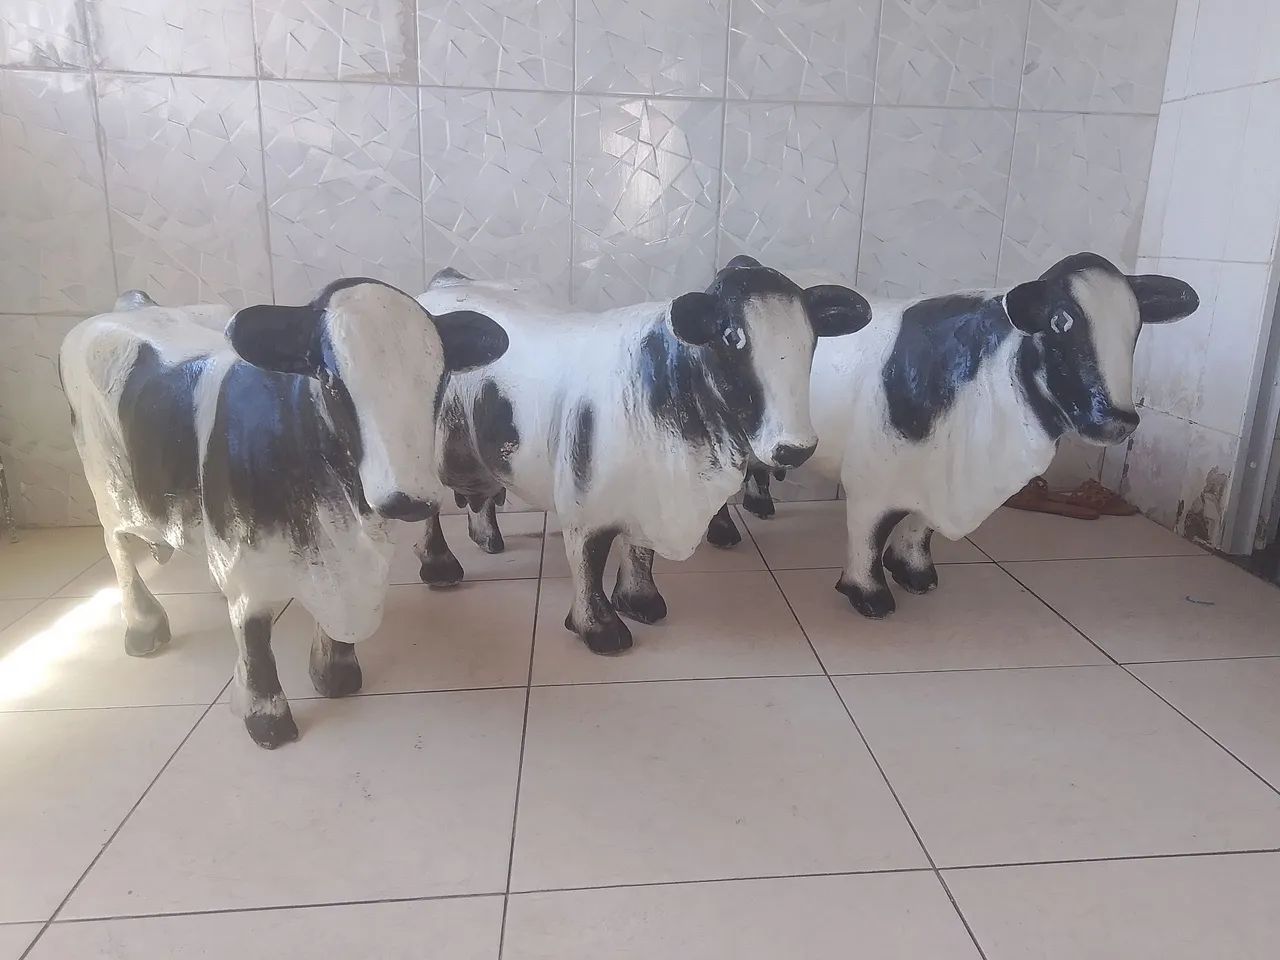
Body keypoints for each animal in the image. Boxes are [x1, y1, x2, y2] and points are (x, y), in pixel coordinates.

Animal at [60, 279, 508, 748]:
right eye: (330, 380)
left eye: (440, 379)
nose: (408, 499)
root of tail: (133, 304)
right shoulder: (244, 561)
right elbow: (254, 634)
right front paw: (267, 717)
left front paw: (334, 672)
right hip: (105, 485)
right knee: (119, 550)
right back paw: (144, 628)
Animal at [413, 258, 873, 653]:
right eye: (732, 336)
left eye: (812, 338)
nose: (796, 447)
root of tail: (446, 284)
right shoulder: (583, 503)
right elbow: (589, 561)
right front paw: (599, 628)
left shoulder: (646, 495)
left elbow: (639, 552)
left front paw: (639, 600)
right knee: (428, 512)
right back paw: (440, 566)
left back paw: (487, 537)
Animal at [705, 253, 1199, 617]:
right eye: (1062, 321)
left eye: (1136, 327)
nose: (1117, 417)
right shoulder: (874, 477)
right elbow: (869, 535)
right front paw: (869, 595)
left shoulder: (939, 475)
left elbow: (920, 528)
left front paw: (914, 572)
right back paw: (725, 531)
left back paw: (761, 504)